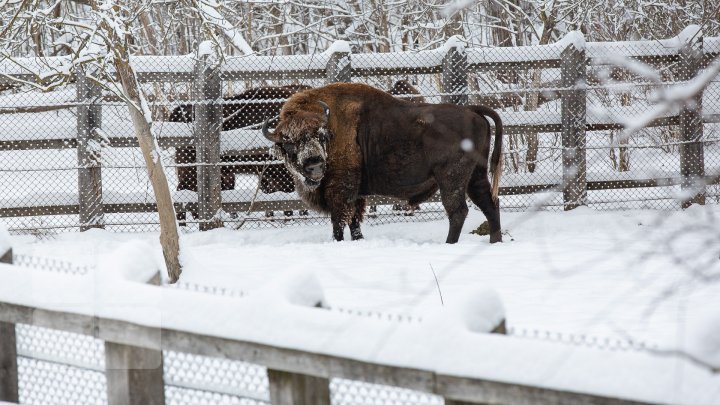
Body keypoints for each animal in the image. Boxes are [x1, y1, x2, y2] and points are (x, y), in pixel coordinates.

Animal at [262, 80, 504, 241]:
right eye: (290, 143)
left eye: (320, 136)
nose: (315, 166)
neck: (331, 130)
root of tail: (472, 112)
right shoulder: (356, 194)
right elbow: (354, 220)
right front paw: (358, 240)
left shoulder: (341, 191)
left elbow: (339, 221)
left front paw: (338, 242)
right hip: (476, 175)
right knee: (489, 204)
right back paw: (495, 241)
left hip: (451, 178)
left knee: (458, 211)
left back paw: (450, 243)